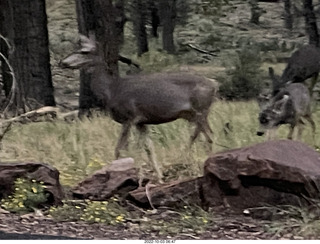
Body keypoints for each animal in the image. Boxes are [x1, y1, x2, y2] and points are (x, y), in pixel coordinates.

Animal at [59, 34, 218, 181]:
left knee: (209, 136)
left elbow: (121, 149)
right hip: (193, 114)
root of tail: (214, 84)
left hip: (200, 109)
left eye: (84, 51)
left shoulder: (129, 117)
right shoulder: (141, 122)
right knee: (200, 135)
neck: (111, 90)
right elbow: (149, 148)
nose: (62, 62)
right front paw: (159, 178)